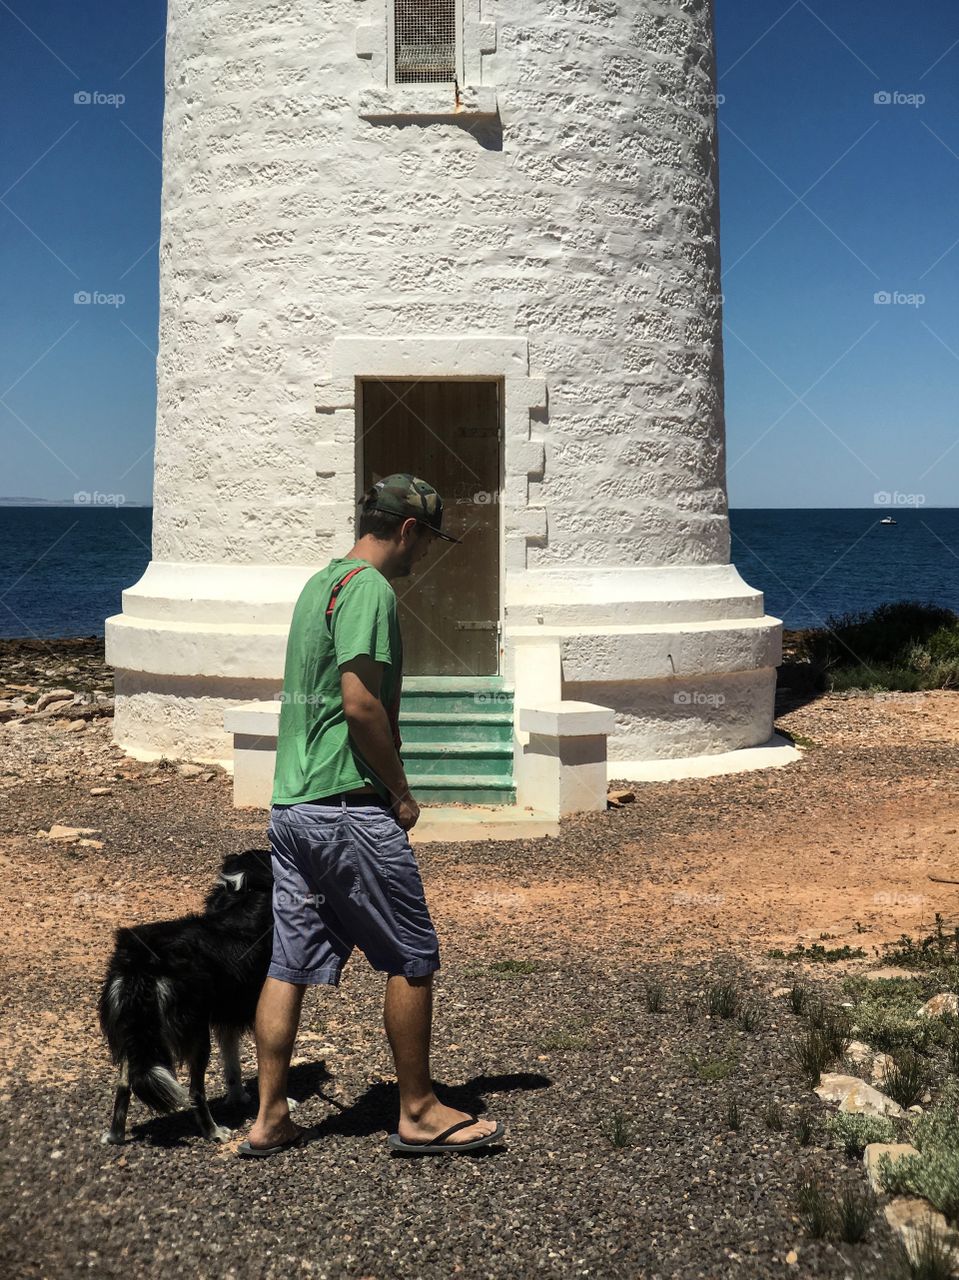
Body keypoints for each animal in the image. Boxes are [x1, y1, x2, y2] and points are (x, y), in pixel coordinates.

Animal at [97, 849, 275, 1141]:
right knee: (195, 1092)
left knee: (124, 1084)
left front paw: (238, 1098)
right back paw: (214, 1132)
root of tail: (142, 960)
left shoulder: (227, 1017)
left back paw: (115, 1136)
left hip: (132, 1031)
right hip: (196, 1034)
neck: (244, 896)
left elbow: (232, 1067)